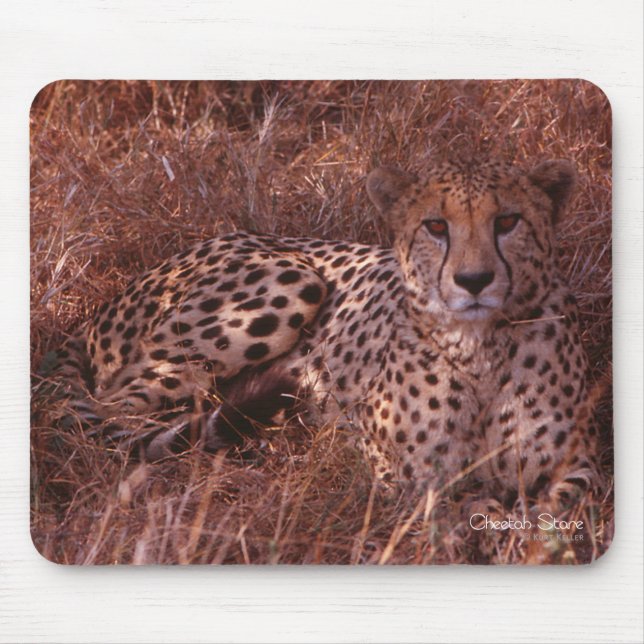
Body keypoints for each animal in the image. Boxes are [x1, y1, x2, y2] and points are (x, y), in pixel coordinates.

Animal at [46, 156, 600, 504]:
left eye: (507, 221)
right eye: (436, 226)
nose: (474, 280)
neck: (479, 349)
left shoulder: (581, 467)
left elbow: (555, 510)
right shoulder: (394, 469)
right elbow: (445, 506)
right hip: (292, 282)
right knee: (112, 414)